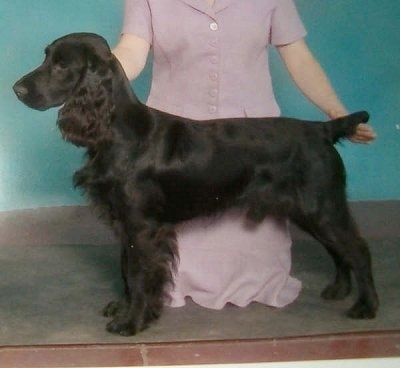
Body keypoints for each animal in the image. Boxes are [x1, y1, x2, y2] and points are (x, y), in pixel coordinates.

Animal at [13, 32, 378, 336]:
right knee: (338, 249)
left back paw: (366, 306)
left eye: (61, 65)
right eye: (46, 57)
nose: (17, 89)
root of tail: (322, 130)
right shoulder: (125, 221)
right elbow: (126, 269)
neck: (118, 130)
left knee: (357, 249)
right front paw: (125, 307)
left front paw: (132, 321)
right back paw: (338, 290)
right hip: (311, 210)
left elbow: (139, 274)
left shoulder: (143, 225)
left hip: (322, 206)